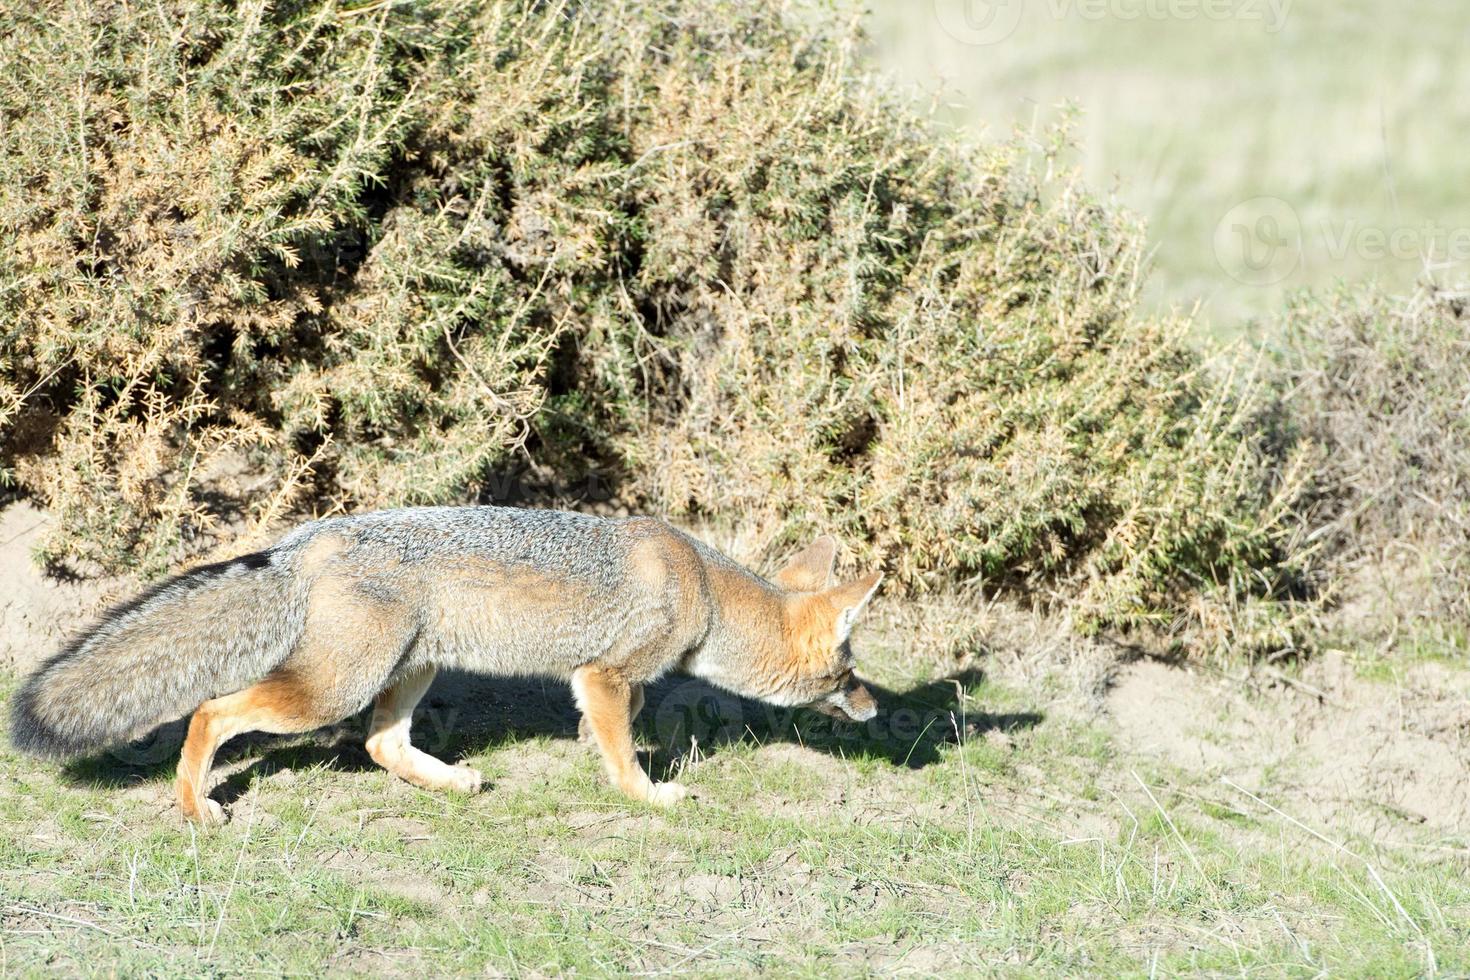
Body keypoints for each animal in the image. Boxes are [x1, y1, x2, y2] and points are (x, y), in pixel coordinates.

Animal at [11, 511, 876, 822]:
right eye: (848, 672)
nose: (873, 708)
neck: (704, 586)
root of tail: (304, 540)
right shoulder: (604, 675)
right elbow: (625, 750)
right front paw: (648, 794)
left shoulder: (597, 680)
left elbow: (616, 730)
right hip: (334, 689)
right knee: (210, 710)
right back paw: (197, 807)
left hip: (409, 672)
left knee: (380, 744)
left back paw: (454, 782)